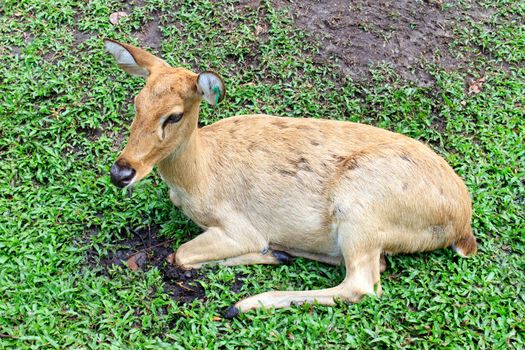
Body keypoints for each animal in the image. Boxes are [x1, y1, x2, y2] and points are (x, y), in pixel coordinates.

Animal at [104, 39, 476, 318]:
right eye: (136, 102)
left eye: (175, 115)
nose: (121, 172)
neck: (198, 179)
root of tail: (462, 224)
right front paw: (275, 254)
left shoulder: (239, 225)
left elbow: (179, 254)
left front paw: (263, 256)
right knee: (374, 266)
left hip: (362, 206)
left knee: (362, 284)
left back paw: (246, 302)